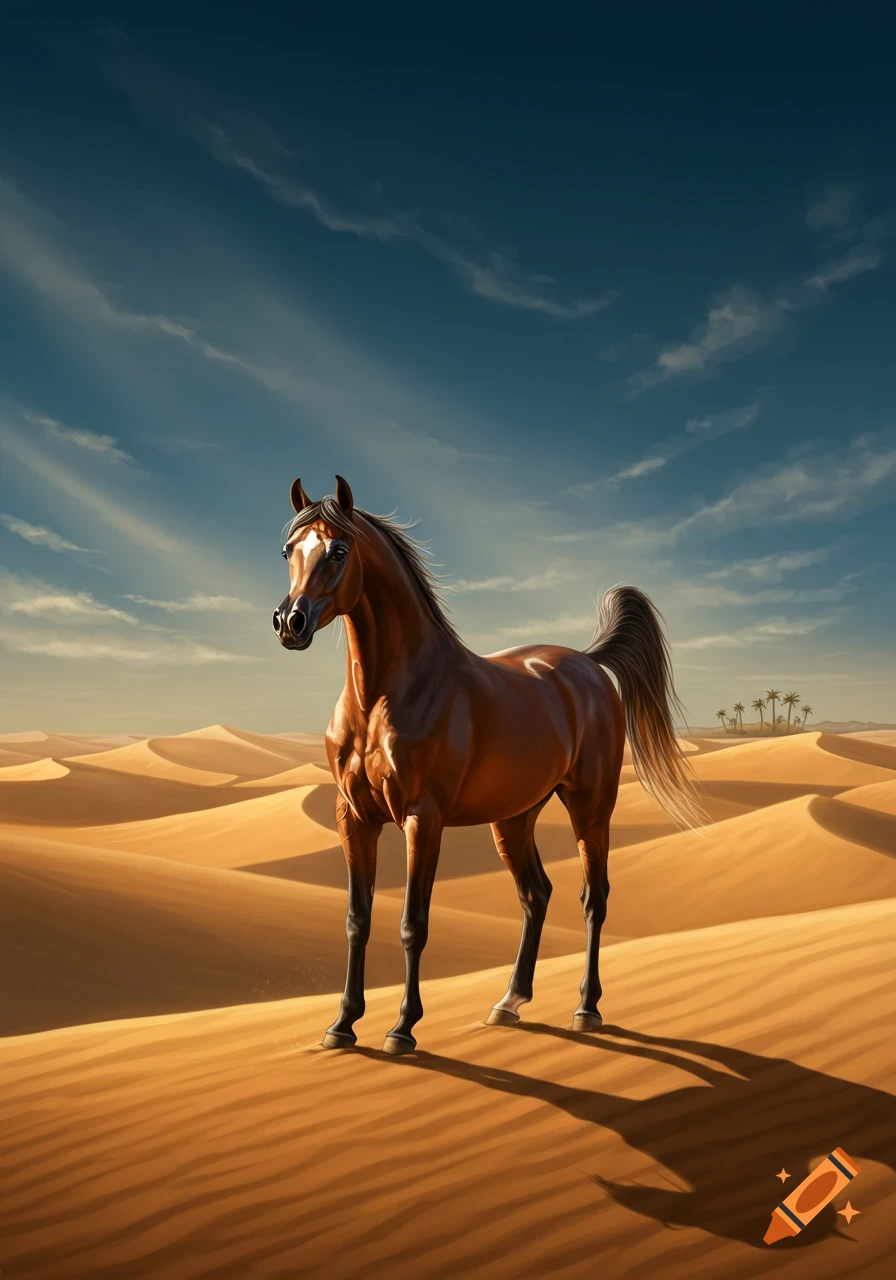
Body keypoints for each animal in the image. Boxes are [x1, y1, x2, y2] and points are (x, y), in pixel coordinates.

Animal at [274, 475, 703, 1055]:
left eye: (339, 550)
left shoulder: (423, 819)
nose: (289, 622)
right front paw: (342, 1025)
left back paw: (586, 1009)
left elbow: (413, 923)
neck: (386, 696)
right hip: (514, 817)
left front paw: (402, 1028)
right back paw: (509, 1003)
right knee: (536, 894)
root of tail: (589, 663)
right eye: (288, 550)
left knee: (594, 897)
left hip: (590, 808)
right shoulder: (355, 818)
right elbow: (356, 919)